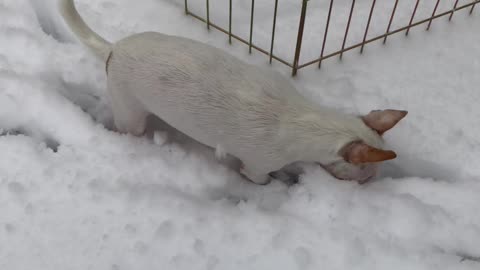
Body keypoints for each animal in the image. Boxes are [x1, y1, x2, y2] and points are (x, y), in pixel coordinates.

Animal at [58, 0, 406, 185]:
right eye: (365, 175)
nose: (368, 185)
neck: (308, 121)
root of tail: (112, 50)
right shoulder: (257, 168)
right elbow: (261, 178)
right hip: (130, 114)